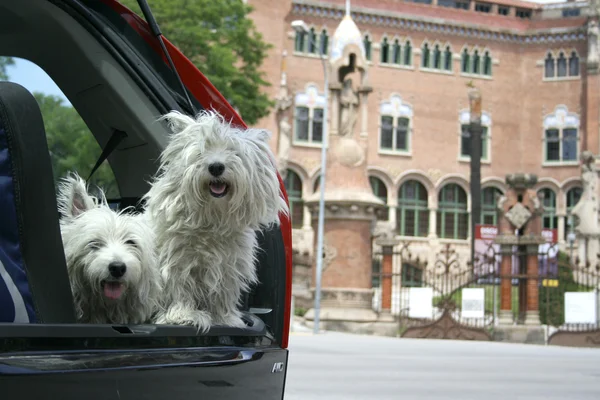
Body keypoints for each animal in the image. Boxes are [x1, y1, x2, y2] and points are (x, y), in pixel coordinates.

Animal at [144, 109, 288, 332]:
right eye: (201, 152)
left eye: (234, 152)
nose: (216, 167)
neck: (212, 219)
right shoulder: (177, 260)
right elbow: (179, 286)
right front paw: (183, 315)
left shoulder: (229, 265)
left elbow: (223, 293)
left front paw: (225, 319)